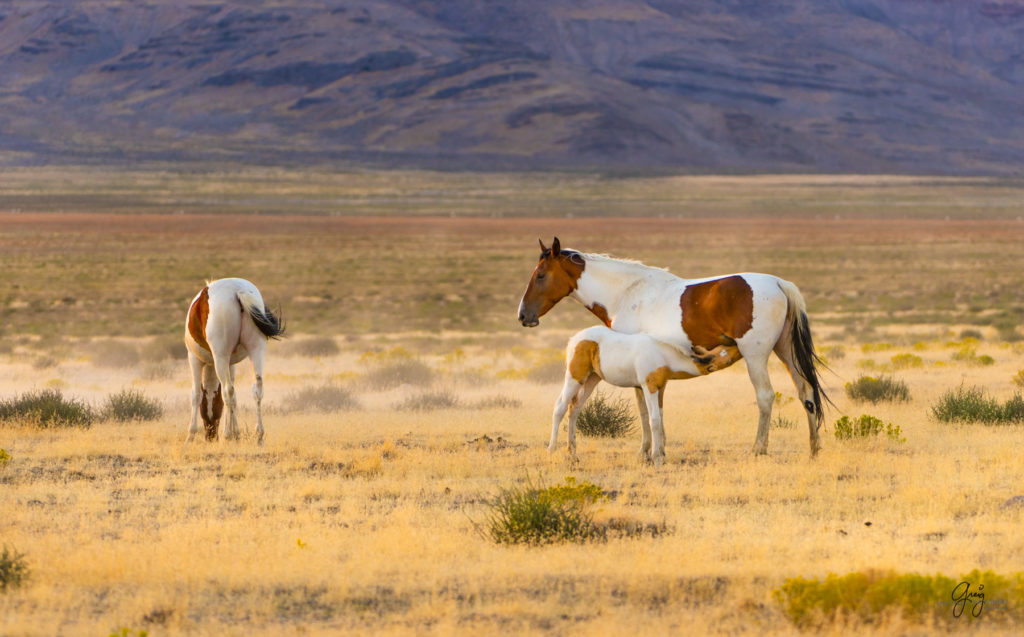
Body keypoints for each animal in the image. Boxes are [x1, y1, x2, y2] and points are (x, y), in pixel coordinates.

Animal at [184, 278, 284, 444]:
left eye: (208, 410)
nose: (211, 436)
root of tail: (237, 291)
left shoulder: (194, 359)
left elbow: (196, 395)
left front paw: (190, 436)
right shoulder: (231, 365)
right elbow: (235, 398)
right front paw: (236, 434)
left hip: (220, 356)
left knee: (227, 390)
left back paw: (226, 435)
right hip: (256, 350)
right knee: (257, 388)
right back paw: (259, 436)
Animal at [548, 327, 733, 466]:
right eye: (727, 352)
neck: (661, 352)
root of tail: (574, 339)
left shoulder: (660, 388)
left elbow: (659, 417)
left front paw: (661, 455)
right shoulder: (648, 387)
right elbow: (654, 420)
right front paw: (657, 459)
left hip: (591, 379)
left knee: (575, 408)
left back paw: (573, 454)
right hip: (574, 378)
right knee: (560, 407)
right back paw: (551, 450)